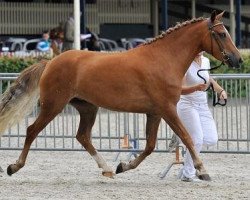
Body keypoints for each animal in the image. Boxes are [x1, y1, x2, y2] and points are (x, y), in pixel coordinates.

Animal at [0, 10, 242, 180]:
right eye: (222, 34)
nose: (238, 59)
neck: (163, 59)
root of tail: (50, 62)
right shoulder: (167, 110)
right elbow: (187, 138)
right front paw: (202, 171)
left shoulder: (155, 113)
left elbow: (150, 145)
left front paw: (123, 166)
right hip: (54, 105)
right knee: (32, 131)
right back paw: (14, 166)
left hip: (88, 107)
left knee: (83, 136)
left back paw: (107, 168)